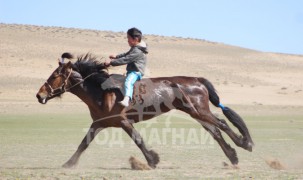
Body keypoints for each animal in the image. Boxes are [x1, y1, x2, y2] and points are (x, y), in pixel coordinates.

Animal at [35, 52, 254, 169]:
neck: (101, 91)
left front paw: (152, 160)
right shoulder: (98, 124)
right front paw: (68, 163)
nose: (39, 95)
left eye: (54, 75)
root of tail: (197, 79)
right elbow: (84, 143)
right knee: (215, 131)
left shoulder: (123, 121)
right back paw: (233, 156)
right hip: (196, 113)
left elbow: (138, 140)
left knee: (222, 124)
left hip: (199, 111)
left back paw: (244, 144)